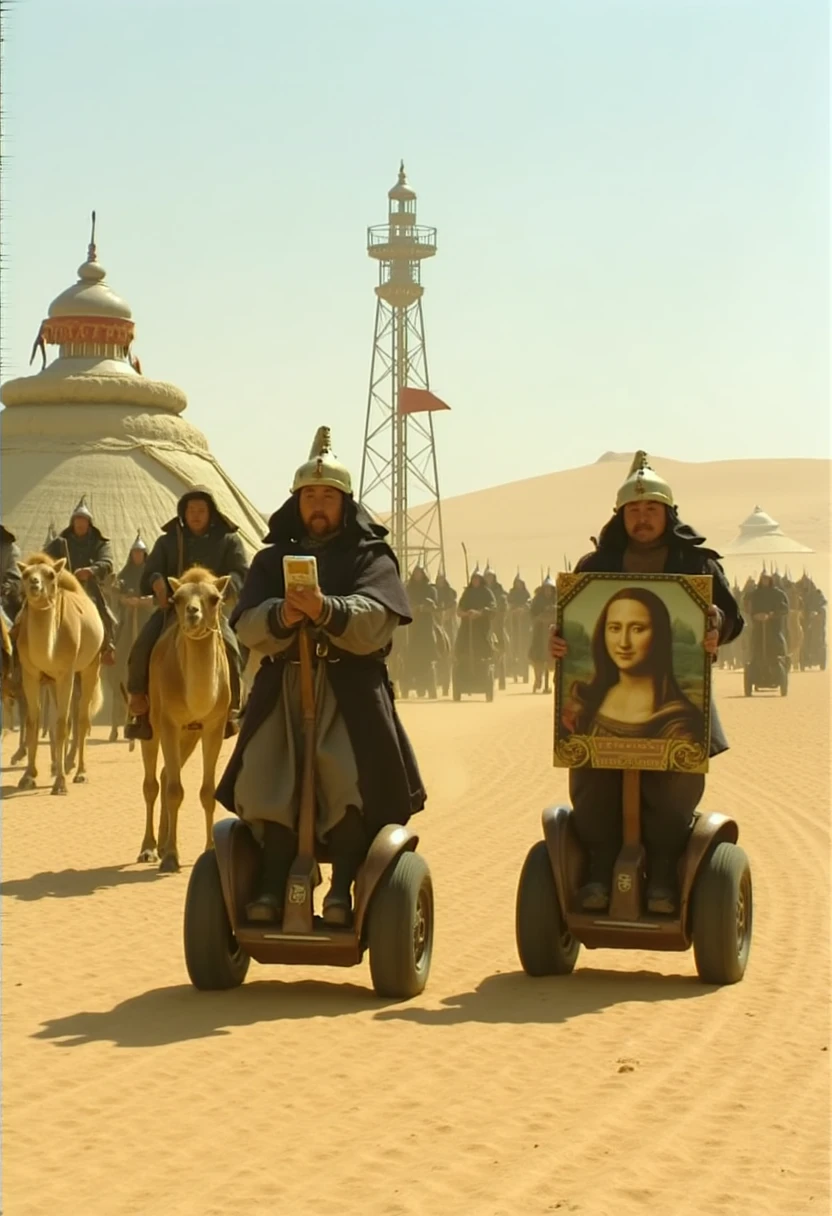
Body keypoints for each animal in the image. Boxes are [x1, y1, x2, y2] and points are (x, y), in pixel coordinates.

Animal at [15, 554, 104, 797]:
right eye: (25, 575)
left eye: (50, 575)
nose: (34, 584)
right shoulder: (30, 673)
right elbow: (34, 722)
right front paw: (28, 776)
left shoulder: (66, 672)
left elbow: (63, 723)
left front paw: (61, 783)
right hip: (54, 681)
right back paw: (58, 765)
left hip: (91, 666)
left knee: (81, 718)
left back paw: (79, 771)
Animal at [137, 569, 231, 875]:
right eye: (176, 598)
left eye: (214, 598)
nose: (192, 612)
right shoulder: (168, 722)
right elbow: (174, 791)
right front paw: (170, 857)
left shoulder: (213, 726)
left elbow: (208, 791)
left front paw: (210, 850)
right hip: (151, 726)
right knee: (153, 784)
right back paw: (150, 848)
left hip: (189, 735)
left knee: (167, 773)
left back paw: (163, 842)